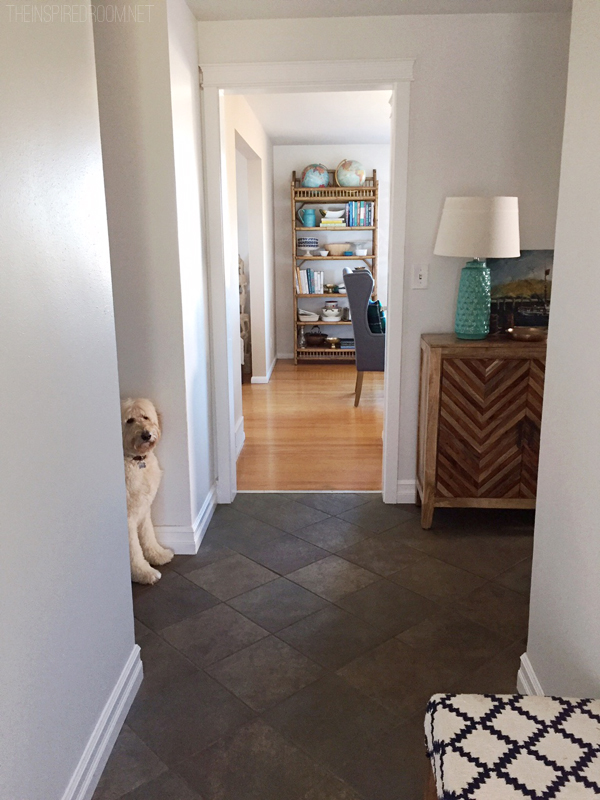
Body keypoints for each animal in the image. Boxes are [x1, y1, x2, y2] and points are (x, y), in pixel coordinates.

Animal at [121, 396, 173, 584]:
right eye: (129, 420)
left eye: (145, 417)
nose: (146, 434)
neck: (137, 461)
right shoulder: (128, 517)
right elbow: (134, 549)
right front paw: (143, 572)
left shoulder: (144, 509)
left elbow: (148, 534)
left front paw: (158, 554)